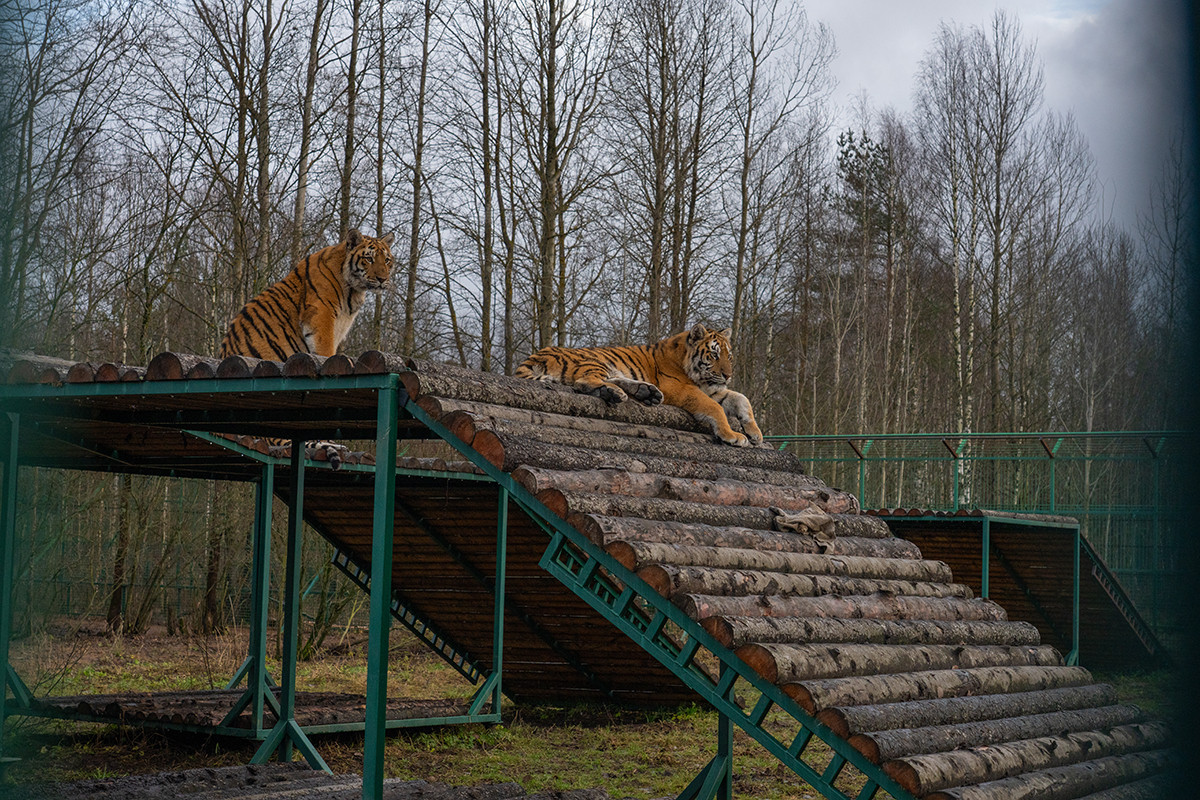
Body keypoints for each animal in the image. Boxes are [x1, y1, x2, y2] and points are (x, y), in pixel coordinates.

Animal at [219, 229, 395, 468]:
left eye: (387, 260)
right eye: (368, 258)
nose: (382, 279)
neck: (353, 289)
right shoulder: (322, 320)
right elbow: (326, 356)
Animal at [514, 324, 764, 447]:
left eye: (729, 356)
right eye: (713, 355)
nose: (728, 375)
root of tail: (534, 356)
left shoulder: (713, 389)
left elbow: (742, 399)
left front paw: (755, 433)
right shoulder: (682, 389)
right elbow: (716, 408)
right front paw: (732, 435)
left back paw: (646, 391)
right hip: (592, 360)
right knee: (584, 381)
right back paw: (615, 393)